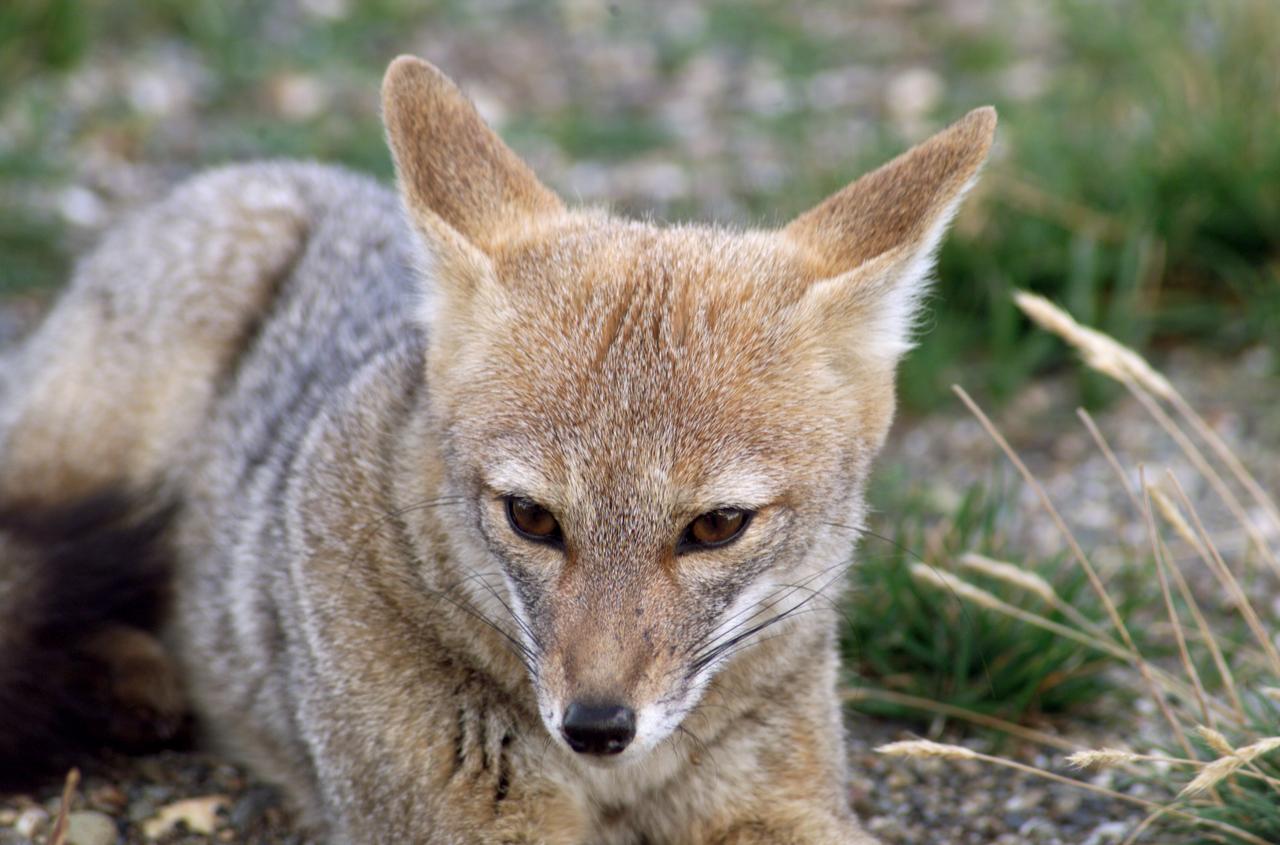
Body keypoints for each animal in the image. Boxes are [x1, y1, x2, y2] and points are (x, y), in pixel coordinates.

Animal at [0, 56, 994, 843]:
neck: (615, 787)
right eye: (531, 517)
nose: (596, 725)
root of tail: (286, 171)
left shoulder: (780, 804)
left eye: (716, 526)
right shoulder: (467, 821)